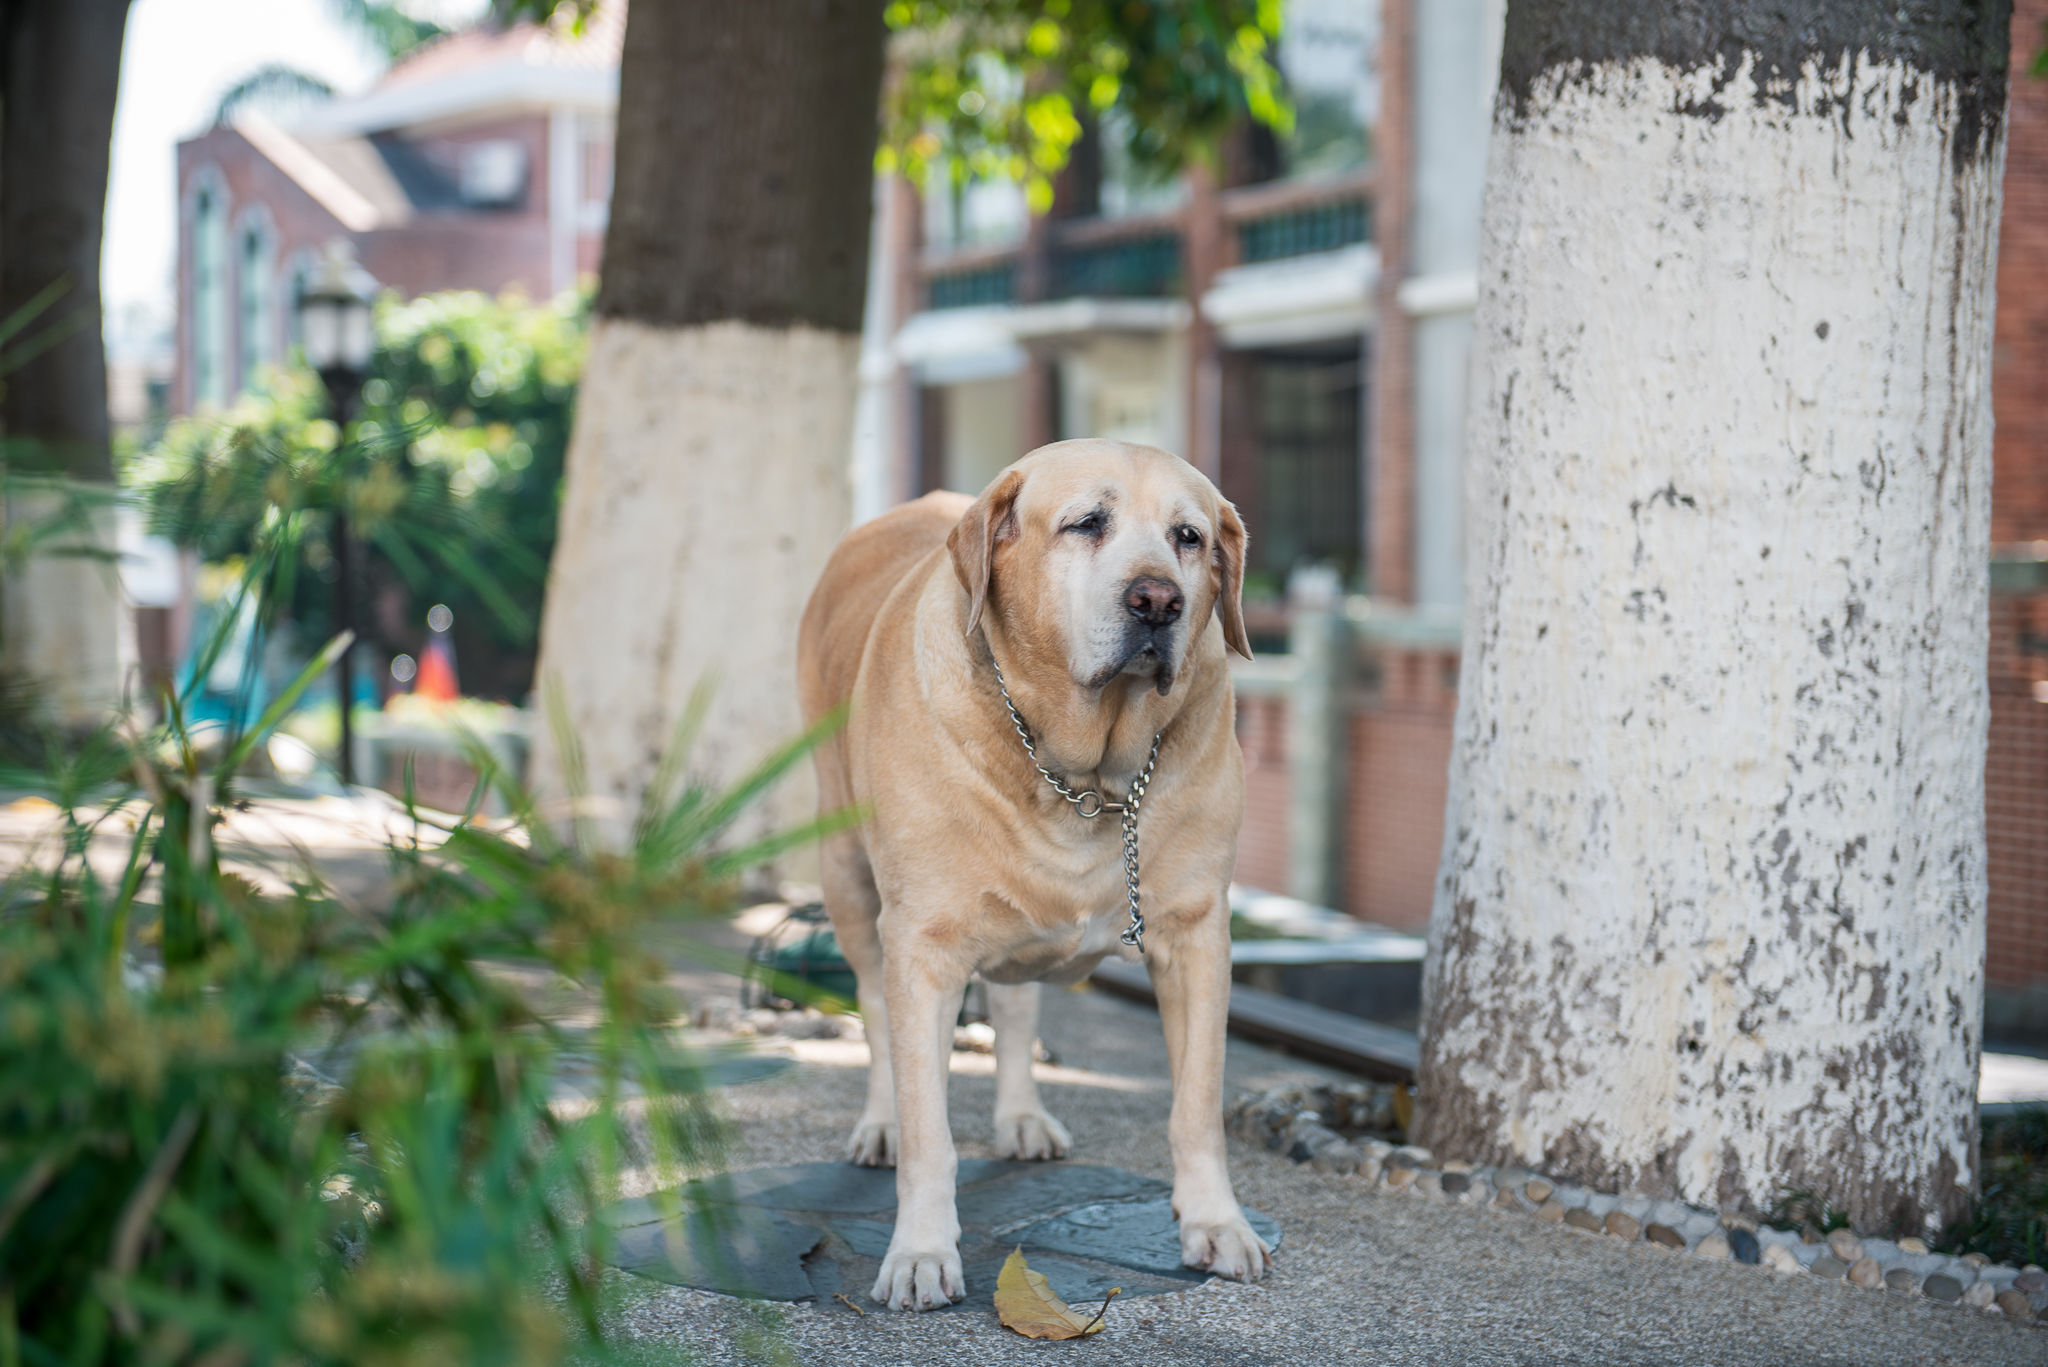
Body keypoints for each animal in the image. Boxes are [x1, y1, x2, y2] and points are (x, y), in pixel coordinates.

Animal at [794, 440, 1261, 1311]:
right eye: (1087, 522)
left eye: (1188, 536)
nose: (1159, 601)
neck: (1085, 772)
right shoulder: (923, 941)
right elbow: (929, 1128)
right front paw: (920, 1250)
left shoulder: (1196, 938)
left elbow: (1196, 1106)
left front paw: (1216, 1222)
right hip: (846, 872)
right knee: (873, 1007)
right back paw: (880, 1122)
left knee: (1014, 1000)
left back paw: (1020, 1116)